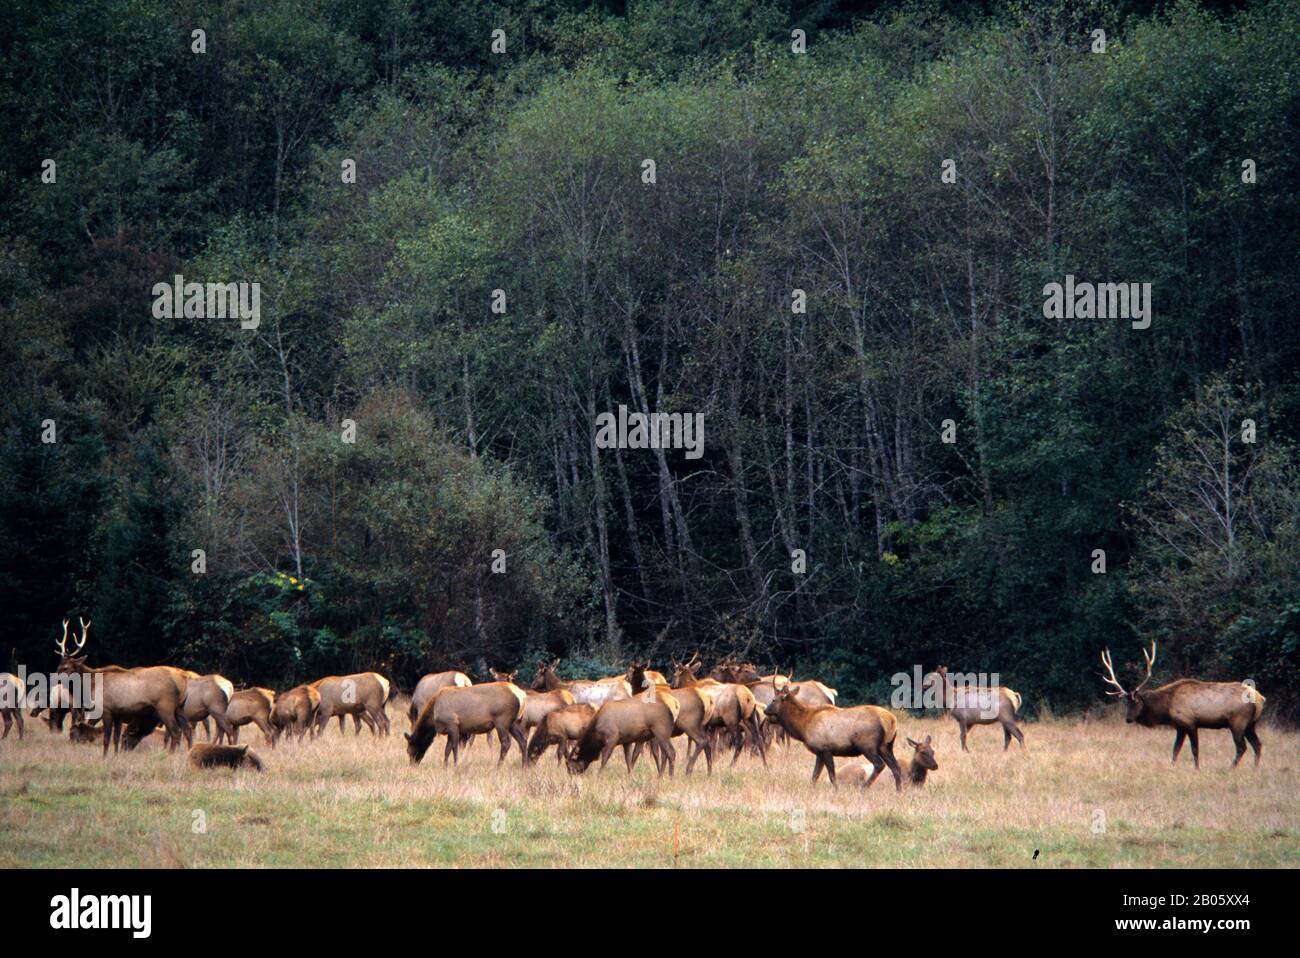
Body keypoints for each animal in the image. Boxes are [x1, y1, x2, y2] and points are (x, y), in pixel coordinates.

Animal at [55, 618, 191, 755]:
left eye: (65, 667)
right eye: (58, 665)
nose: (53, 678)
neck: (91, 685)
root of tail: (182, 679)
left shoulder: (105, 708)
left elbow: (106, 737)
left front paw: (104, 756)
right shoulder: (118, 713)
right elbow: (116, 737)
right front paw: (115, 755)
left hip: (165, 706)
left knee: (176, 731)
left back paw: (171, 754)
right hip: (179, 707)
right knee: (187, 730)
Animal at [766, 683, 901, 789]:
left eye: (773, 700)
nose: (765, 711)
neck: (803, 726)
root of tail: (891, 721)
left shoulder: (825, 749)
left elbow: (831, 775)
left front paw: (836, 790)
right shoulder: (819, 752)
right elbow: (814, 776)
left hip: (867, 745)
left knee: (880, 765)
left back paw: (864, 788)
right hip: (886, 746)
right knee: (896, 768)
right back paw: (899, 791)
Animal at [1100, 641, 1265, 769]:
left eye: (1136, 701)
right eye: (1125, 703)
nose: (1128, 719)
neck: (1166, 708)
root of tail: (1261, 699)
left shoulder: (1190, 722)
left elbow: (1194, 749)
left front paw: (1197, 768)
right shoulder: (1180, 726)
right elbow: (1175, 750)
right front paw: (1172, 766)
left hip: (1238, 721)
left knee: (1242, 747)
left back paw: (1230, 768)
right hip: (1251, 724)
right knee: (1257, 745)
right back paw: (1255, 768)